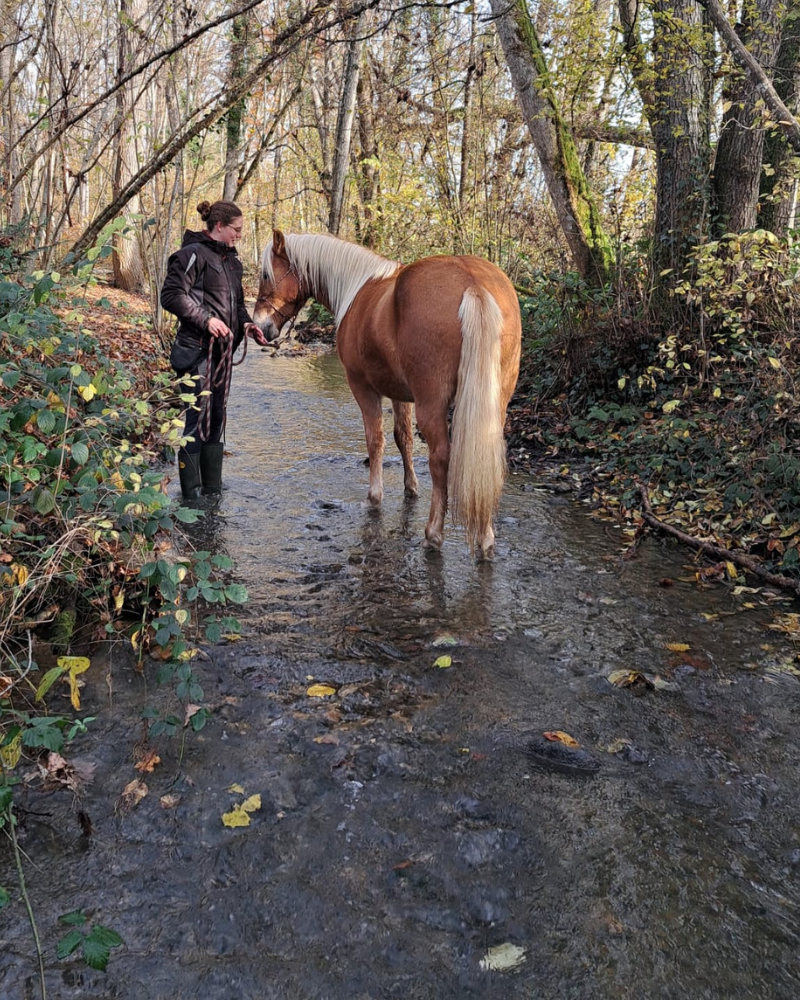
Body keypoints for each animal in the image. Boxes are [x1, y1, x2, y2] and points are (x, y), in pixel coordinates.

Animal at [252, 231, 522, 559]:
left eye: (266, 274)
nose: (260, 327)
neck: (356, 289)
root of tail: (472, 283)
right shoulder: (400, 394)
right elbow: (403, 438)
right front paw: (410, 488)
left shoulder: (363, 387)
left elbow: (375, 440)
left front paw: (374, 496)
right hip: (495, 403)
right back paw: (485, 536)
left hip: (432, 403)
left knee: (440, 457)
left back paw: (433, 534)